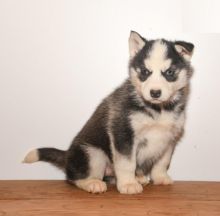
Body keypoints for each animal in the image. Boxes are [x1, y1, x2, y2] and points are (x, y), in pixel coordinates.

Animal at [23, 31, 194, 195]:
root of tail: (67, 155)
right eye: (145, 72)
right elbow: (127, 163)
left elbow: (162, 162)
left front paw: (160, 178)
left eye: (169, 72)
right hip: (92, 154)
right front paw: (128, 184)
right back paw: (92, 183)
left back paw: (138, 178)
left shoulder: (169, 138)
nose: (155, 92)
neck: (159, 109)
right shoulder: (123, 133)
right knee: (74, 177)